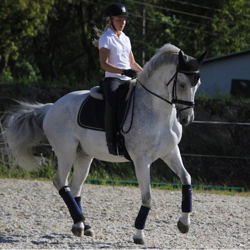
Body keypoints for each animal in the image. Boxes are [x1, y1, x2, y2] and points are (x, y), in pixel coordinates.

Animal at [0, 44, 207, 245]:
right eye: (182, 84)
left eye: (197, 84)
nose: (187, 118)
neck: (156, 110)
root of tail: (51, 107)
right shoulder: (141, 160)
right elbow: (147, 197)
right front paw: (138, 235)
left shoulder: (170, 152)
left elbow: (186, 179)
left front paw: (184, 223)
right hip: (66, 153)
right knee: (61, 183)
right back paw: (80, 222)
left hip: (83, 156)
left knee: (75, 187)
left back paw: (81, 225)